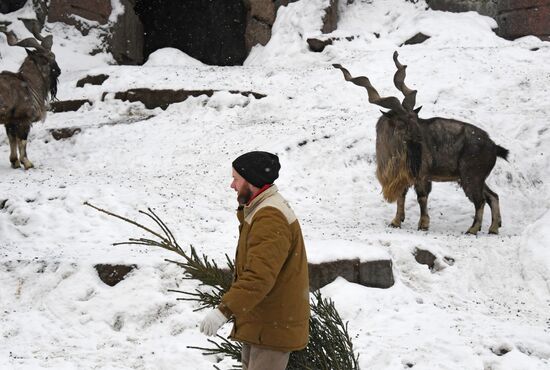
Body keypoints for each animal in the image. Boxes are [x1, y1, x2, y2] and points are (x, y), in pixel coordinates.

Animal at [0, 19, 60, 170]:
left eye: (53, 56)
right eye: (47, 58)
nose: (58, 70)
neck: (28, 83)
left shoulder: (10, 122)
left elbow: (12, 140)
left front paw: (14, 162)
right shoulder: (23, 120)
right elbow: (22, 141)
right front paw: (27, 163)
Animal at [334, 52, 512, 234]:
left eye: (415, 118)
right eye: (402, 122)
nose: (421, 138)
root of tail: (494, 146)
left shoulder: (422, 174)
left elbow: (422, 197)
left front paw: (423, 224)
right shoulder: (402, 178)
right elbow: (401, 197)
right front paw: (396, 221)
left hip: (471, 176)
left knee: (480, 200)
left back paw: (473, 229)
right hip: (476, 177)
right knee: (492, 196)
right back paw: (493, 228)